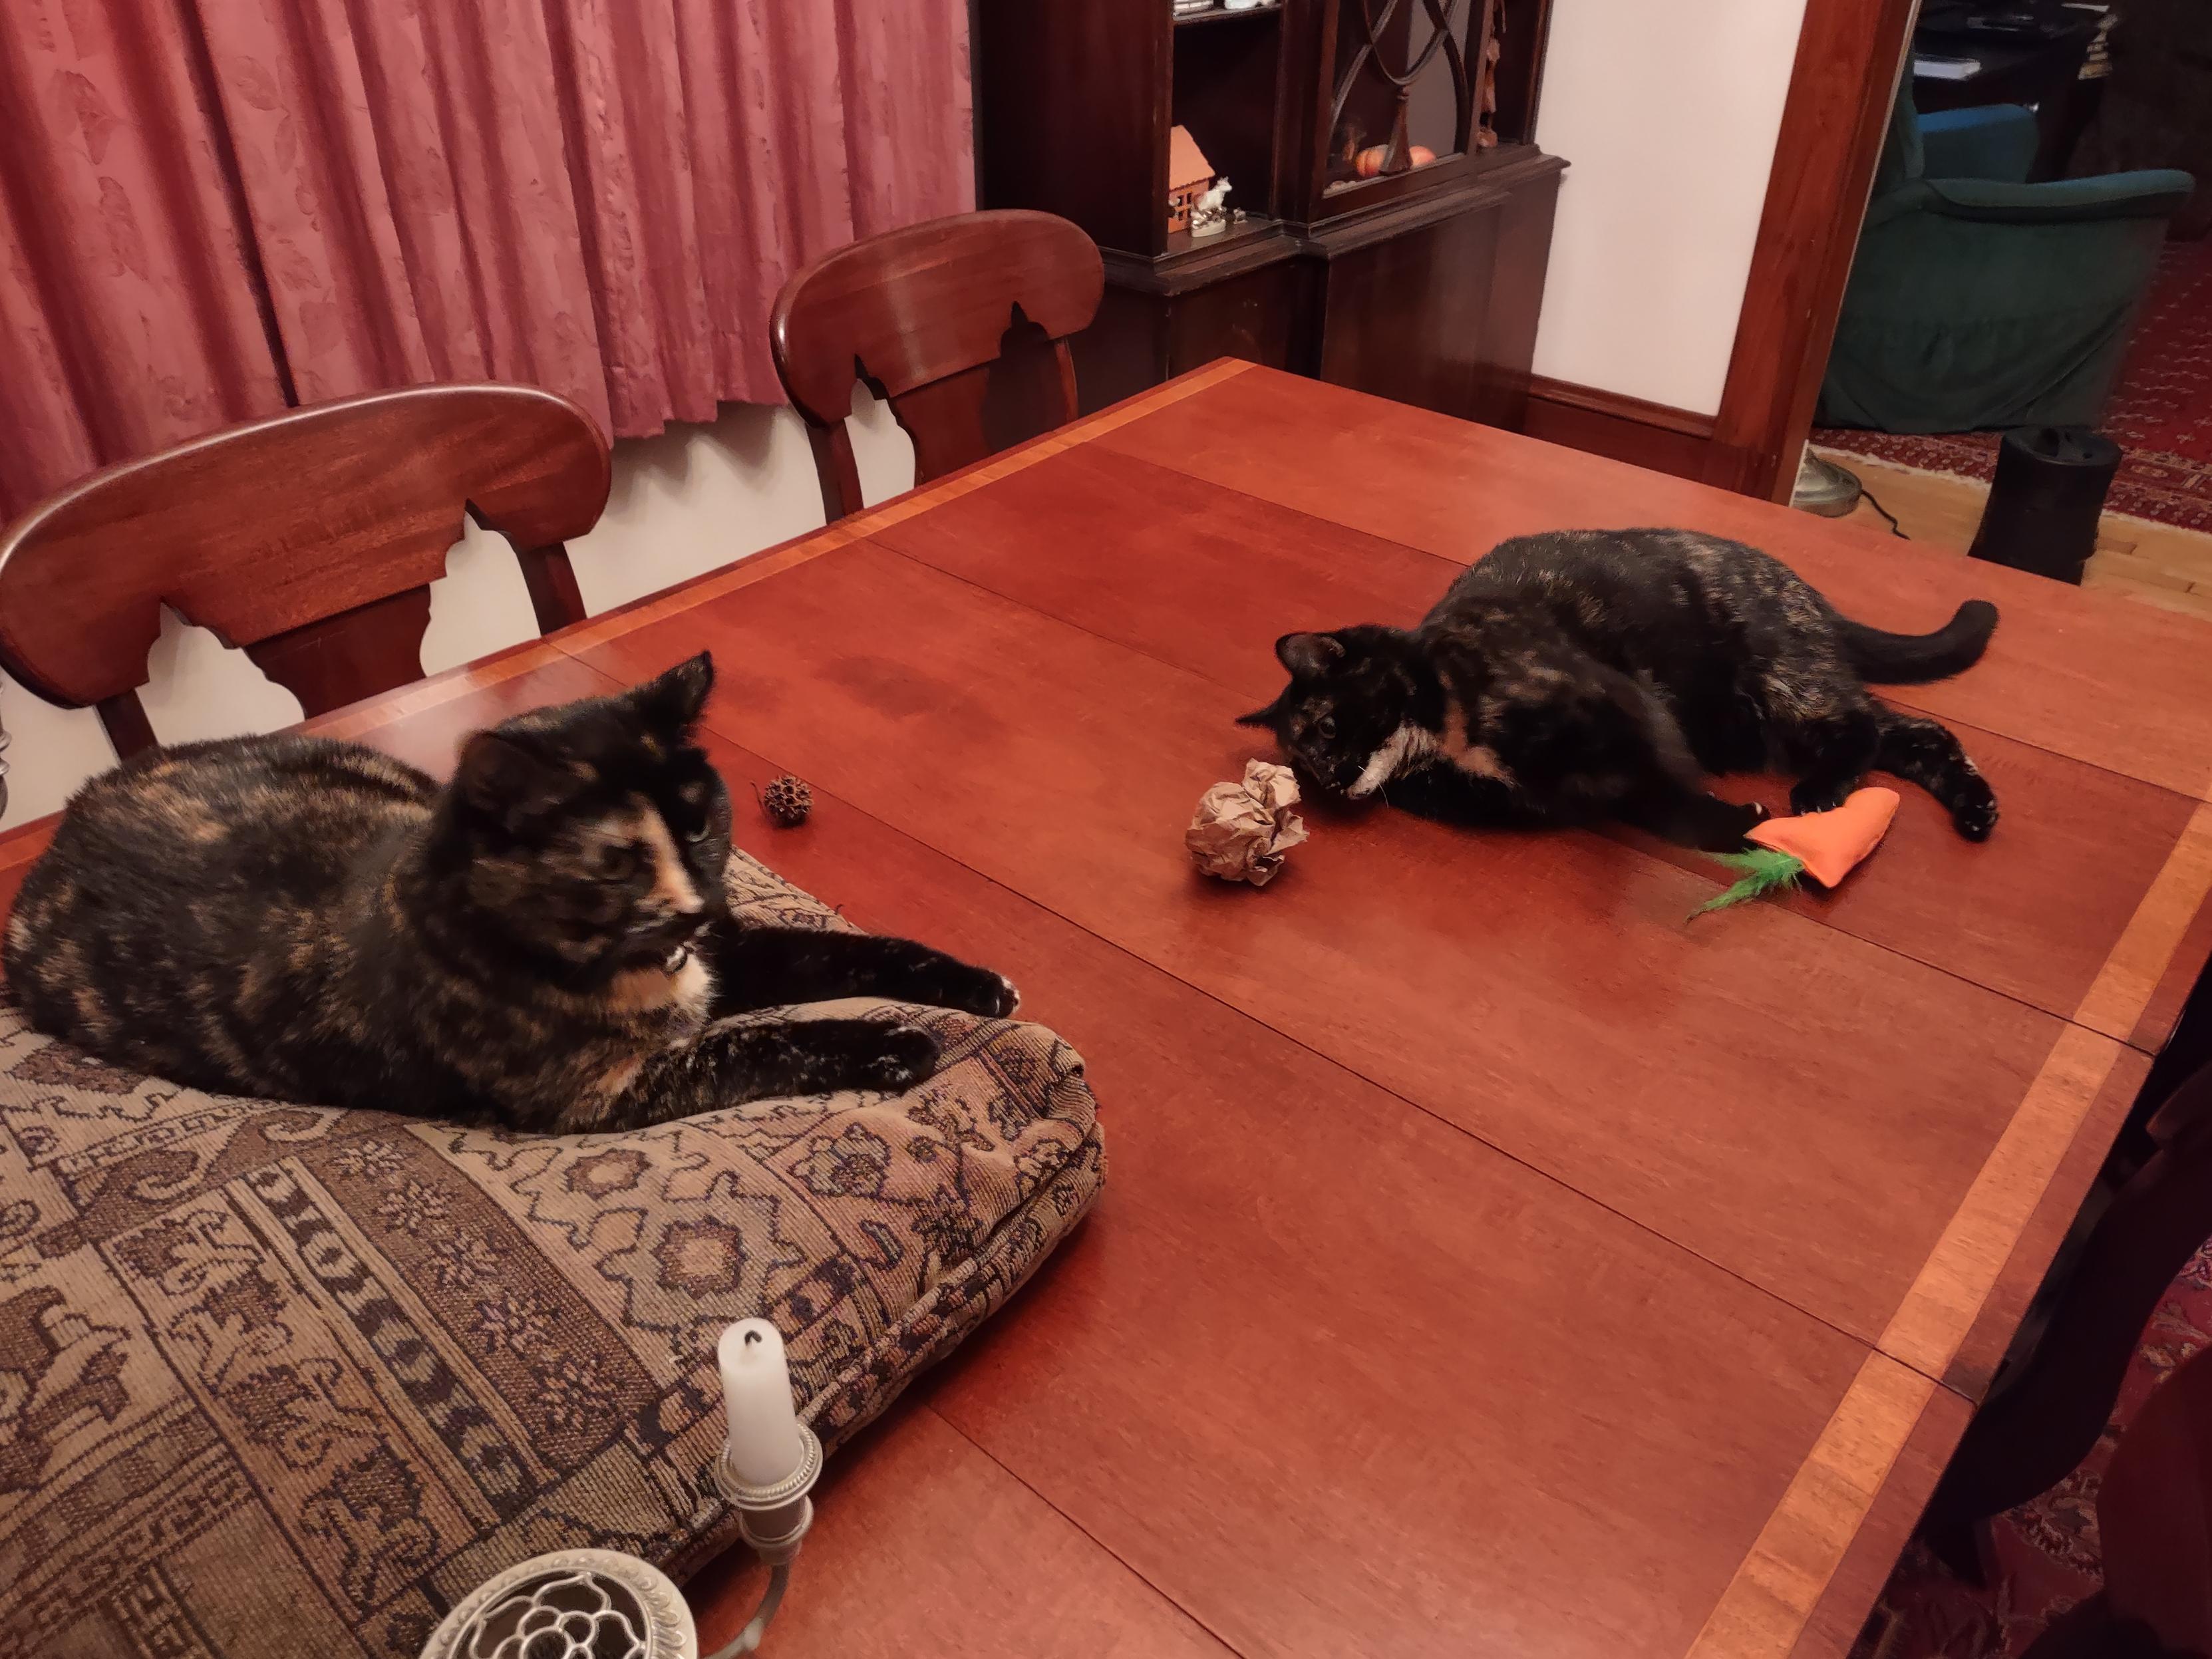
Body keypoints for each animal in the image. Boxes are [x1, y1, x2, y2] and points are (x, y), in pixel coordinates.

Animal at [0, 655, 1013, 1141]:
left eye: (698, 821)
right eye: (615, 863)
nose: (692, 906)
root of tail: (60, 834)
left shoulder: (729, 950)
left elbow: (849, 948)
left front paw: (974, 985)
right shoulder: (603, 1092)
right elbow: (765, 1040)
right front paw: (896, 1044)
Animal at [1247, 528, 2008, 849]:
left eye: (1326, 728)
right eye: (1305, 769)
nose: (1335, 781)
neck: (1442, 742)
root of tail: (1809, 594)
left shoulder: (1626, 710)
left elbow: (1664, 793)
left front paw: (1739, 828)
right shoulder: (1531, 792)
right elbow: (1635, 800)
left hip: (1782, 678)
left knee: (1865, 727)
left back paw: (1820, 794)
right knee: (1913, 732)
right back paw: (1976, 811)